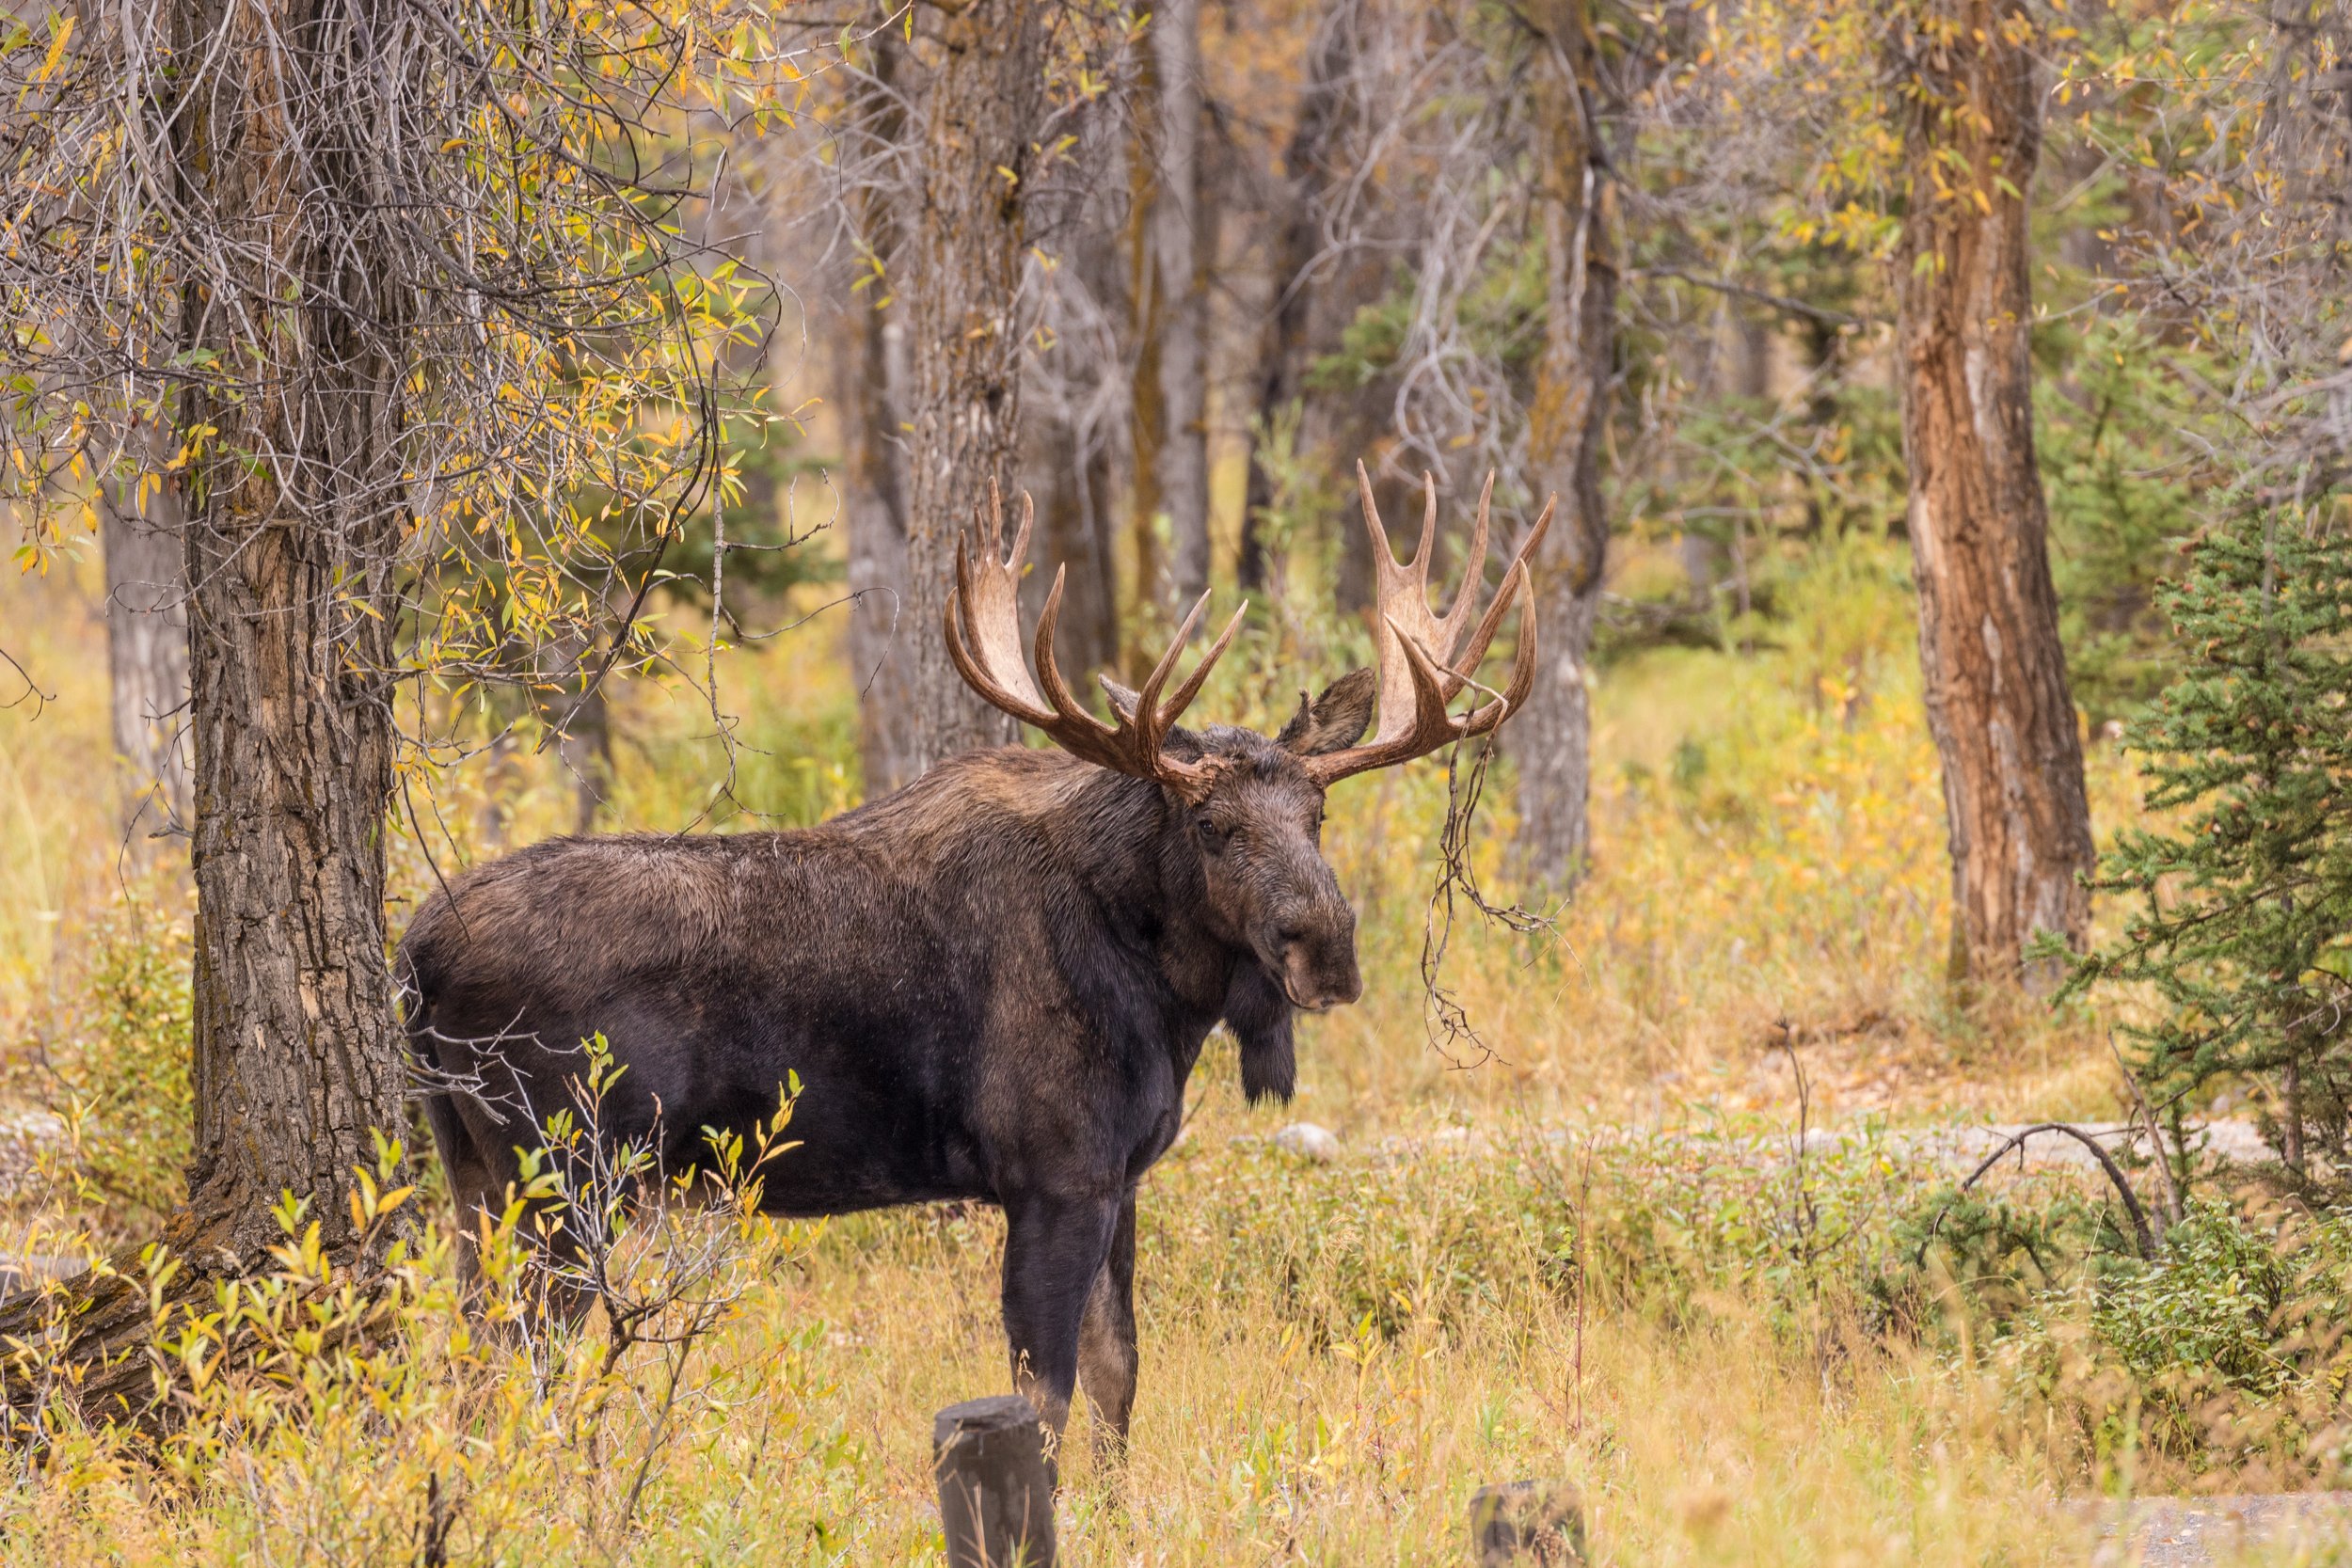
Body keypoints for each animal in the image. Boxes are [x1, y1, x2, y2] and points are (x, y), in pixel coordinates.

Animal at [396, 465, 1552, 1460]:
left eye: (1317, 813)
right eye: (1213, 823)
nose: (1330, 949)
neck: (1163, 996)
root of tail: (414, 950)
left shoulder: (1118, 1178)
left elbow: (1119, 1379)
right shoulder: (1052, 1174)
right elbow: (1044, 1398)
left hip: (476, 1176)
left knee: (469, 1364)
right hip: (563, 1180)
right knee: (518, 1366)